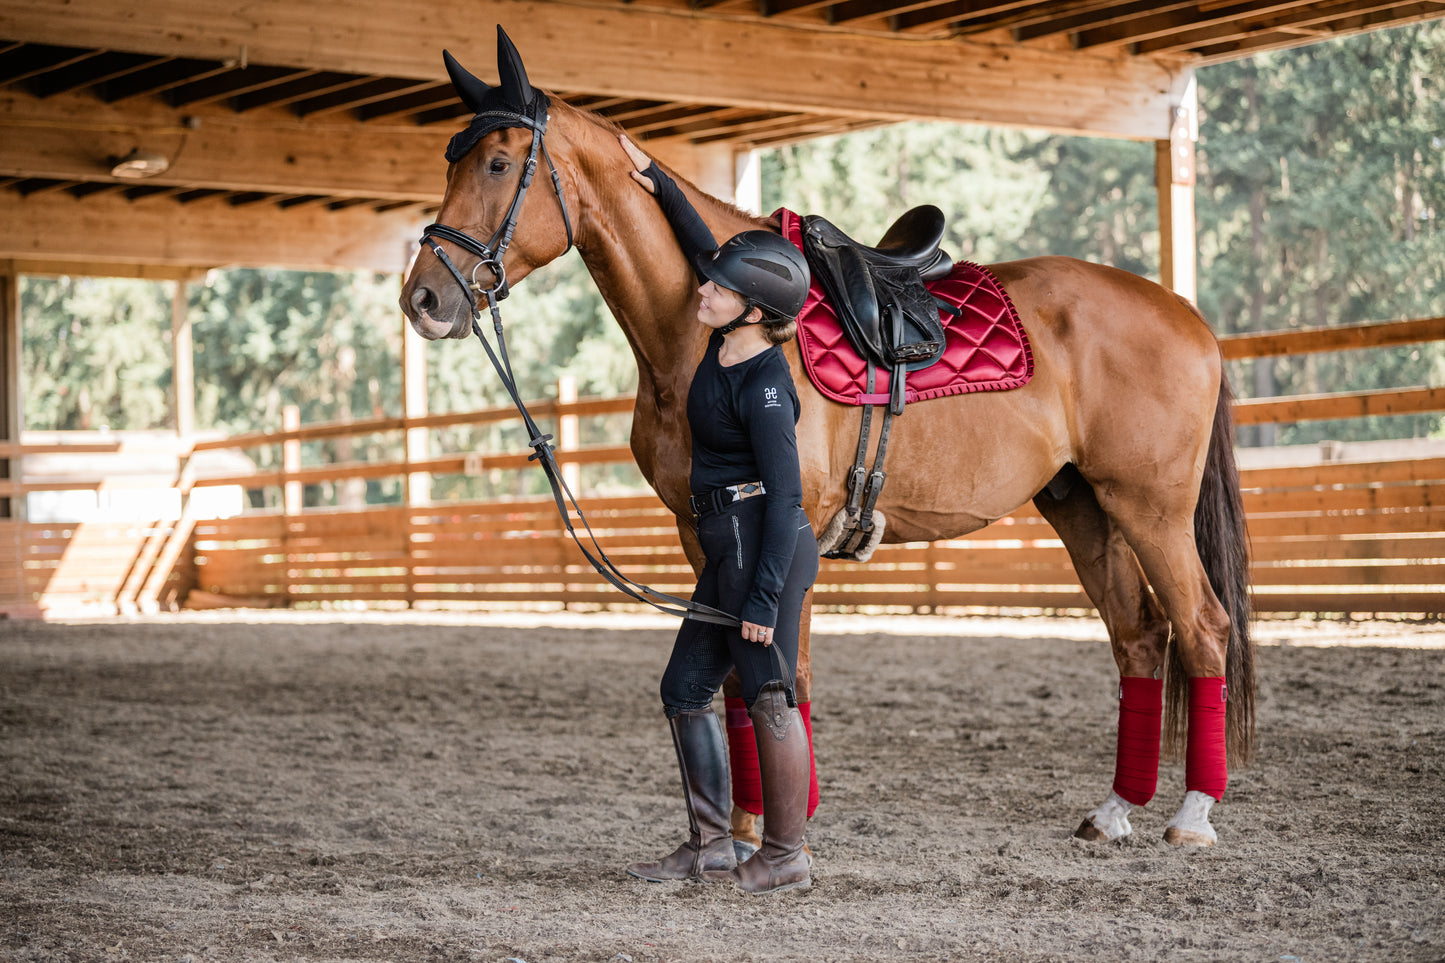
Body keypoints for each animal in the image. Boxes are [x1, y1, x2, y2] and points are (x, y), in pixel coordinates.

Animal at [404, 37, 1254, 850]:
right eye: (451, 158)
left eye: (499, 161)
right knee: (1139, 637)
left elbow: (785, 672)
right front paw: (745, 825)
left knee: (1202, 630)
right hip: (1082, 506)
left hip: (1150, 510)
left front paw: (783, 821)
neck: (712, 335)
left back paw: (1193, 813)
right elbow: (737, 678)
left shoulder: (789, 528)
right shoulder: (702, 529)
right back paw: (1114, 810)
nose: (424, 297)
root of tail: (1188, 316)